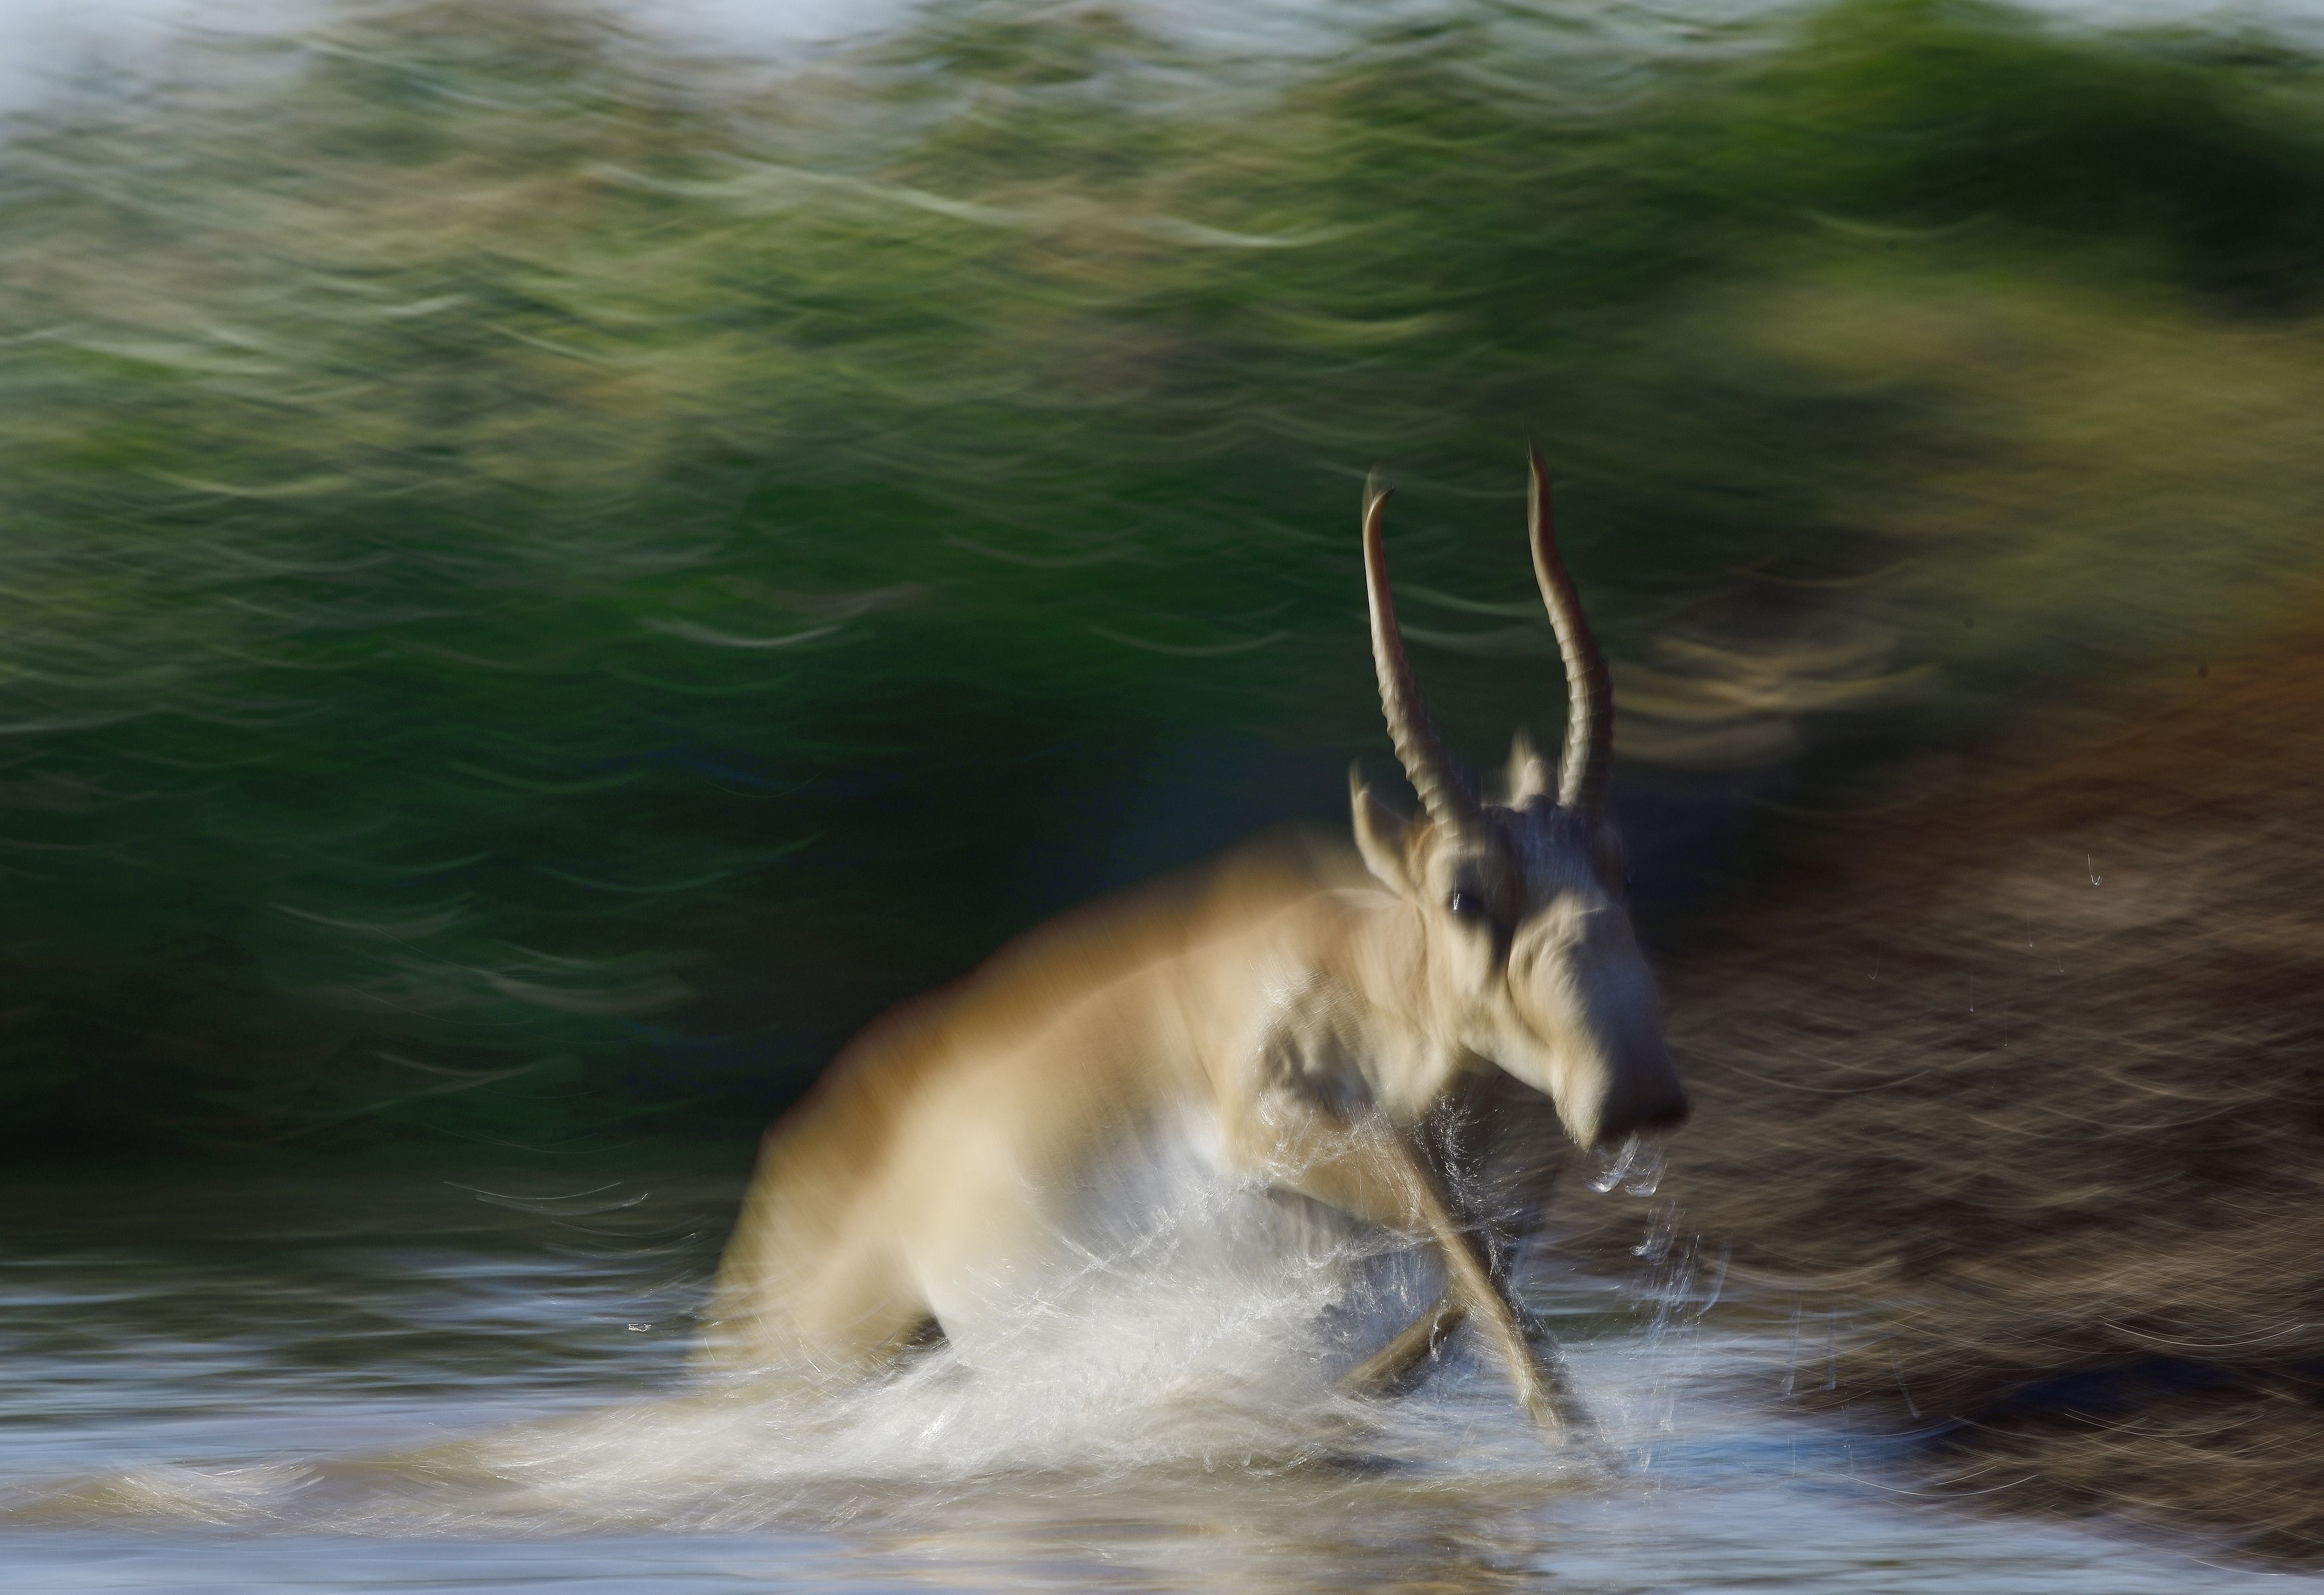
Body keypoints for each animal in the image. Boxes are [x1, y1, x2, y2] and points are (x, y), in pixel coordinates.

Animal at [697, 451, 1683, 1441]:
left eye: (1622, 865)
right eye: (1461, 895)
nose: (1633, 1089)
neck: (1363, 978)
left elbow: (1478, 1250)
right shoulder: (1271, 1123)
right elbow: (1448, 1219)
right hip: (828, 1348)